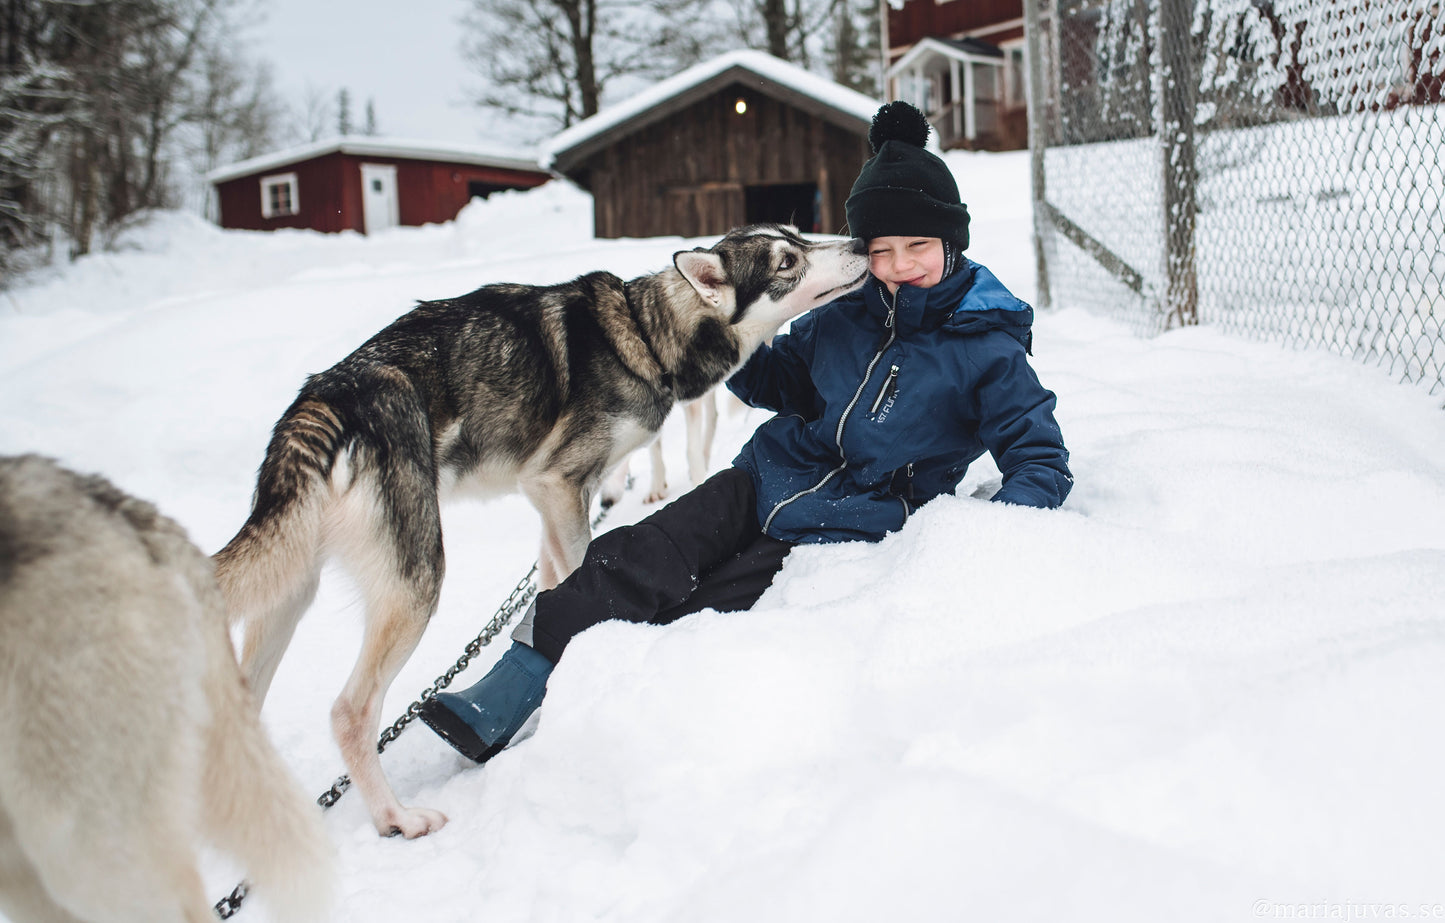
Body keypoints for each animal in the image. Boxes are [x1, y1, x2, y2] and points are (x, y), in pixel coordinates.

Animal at [213, 223, 867, 837]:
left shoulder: (551, 500)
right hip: (416, 581)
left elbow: (554, 585)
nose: (860, 242)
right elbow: (579, 576)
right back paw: (396, 817)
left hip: (290, 590)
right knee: (350, 712)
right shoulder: (559, 485)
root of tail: (326, 398)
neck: (645, 337)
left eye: (797, 236)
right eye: (787, 262)